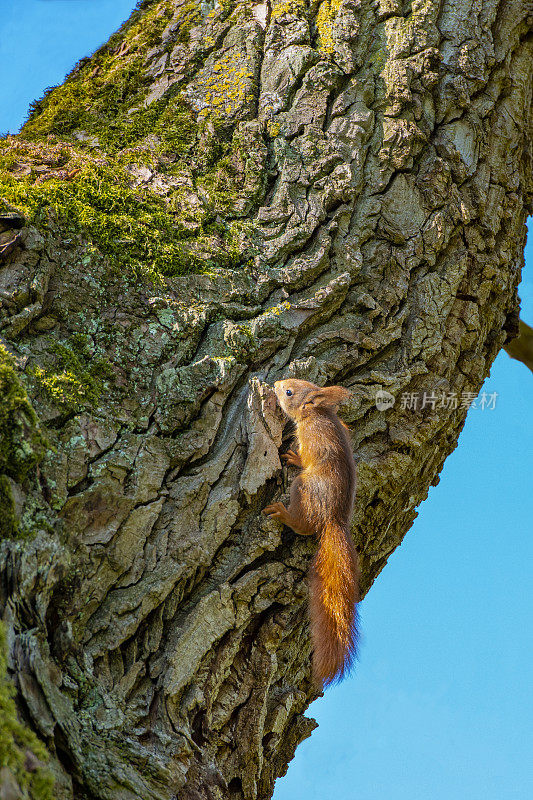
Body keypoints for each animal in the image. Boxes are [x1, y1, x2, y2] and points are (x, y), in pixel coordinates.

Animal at [264, 378, 360, 684]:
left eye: (289, 392)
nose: (276, 383)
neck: (316, 414)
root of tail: (334, 519)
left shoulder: (313, 439)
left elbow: (305, 457)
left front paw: (293, 457)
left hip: (303, 487)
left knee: (303, 524)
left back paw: (283, 514)